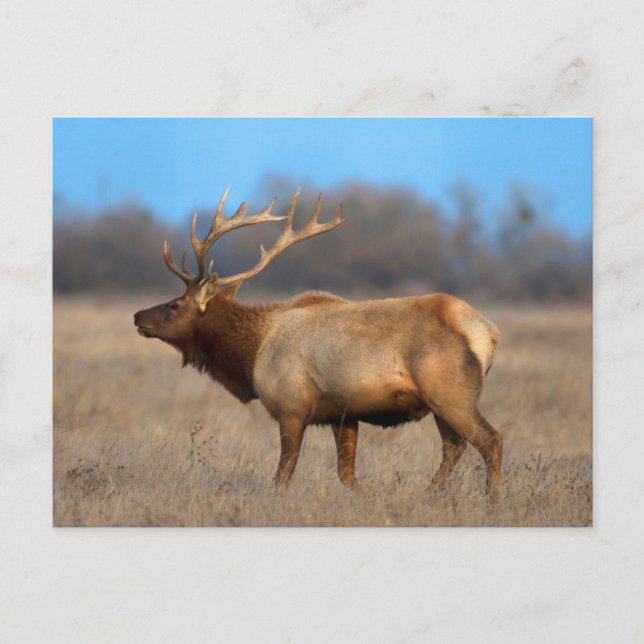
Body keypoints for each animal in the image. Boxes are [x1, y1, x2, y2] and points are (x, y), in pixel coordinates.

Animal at [133, 187, 502, 497]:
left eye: (174, 305)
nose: (138, 316)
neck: (251, 355)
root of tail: (487, 333)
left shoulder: (291, 407)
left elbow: (283, 475)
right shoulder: (343, 414)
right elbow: (347, 474)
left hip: (450, 393)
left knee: (490, 442)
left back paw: (491, 499)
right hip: (442, 402)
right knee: (454, 448)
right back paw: (430, 495)